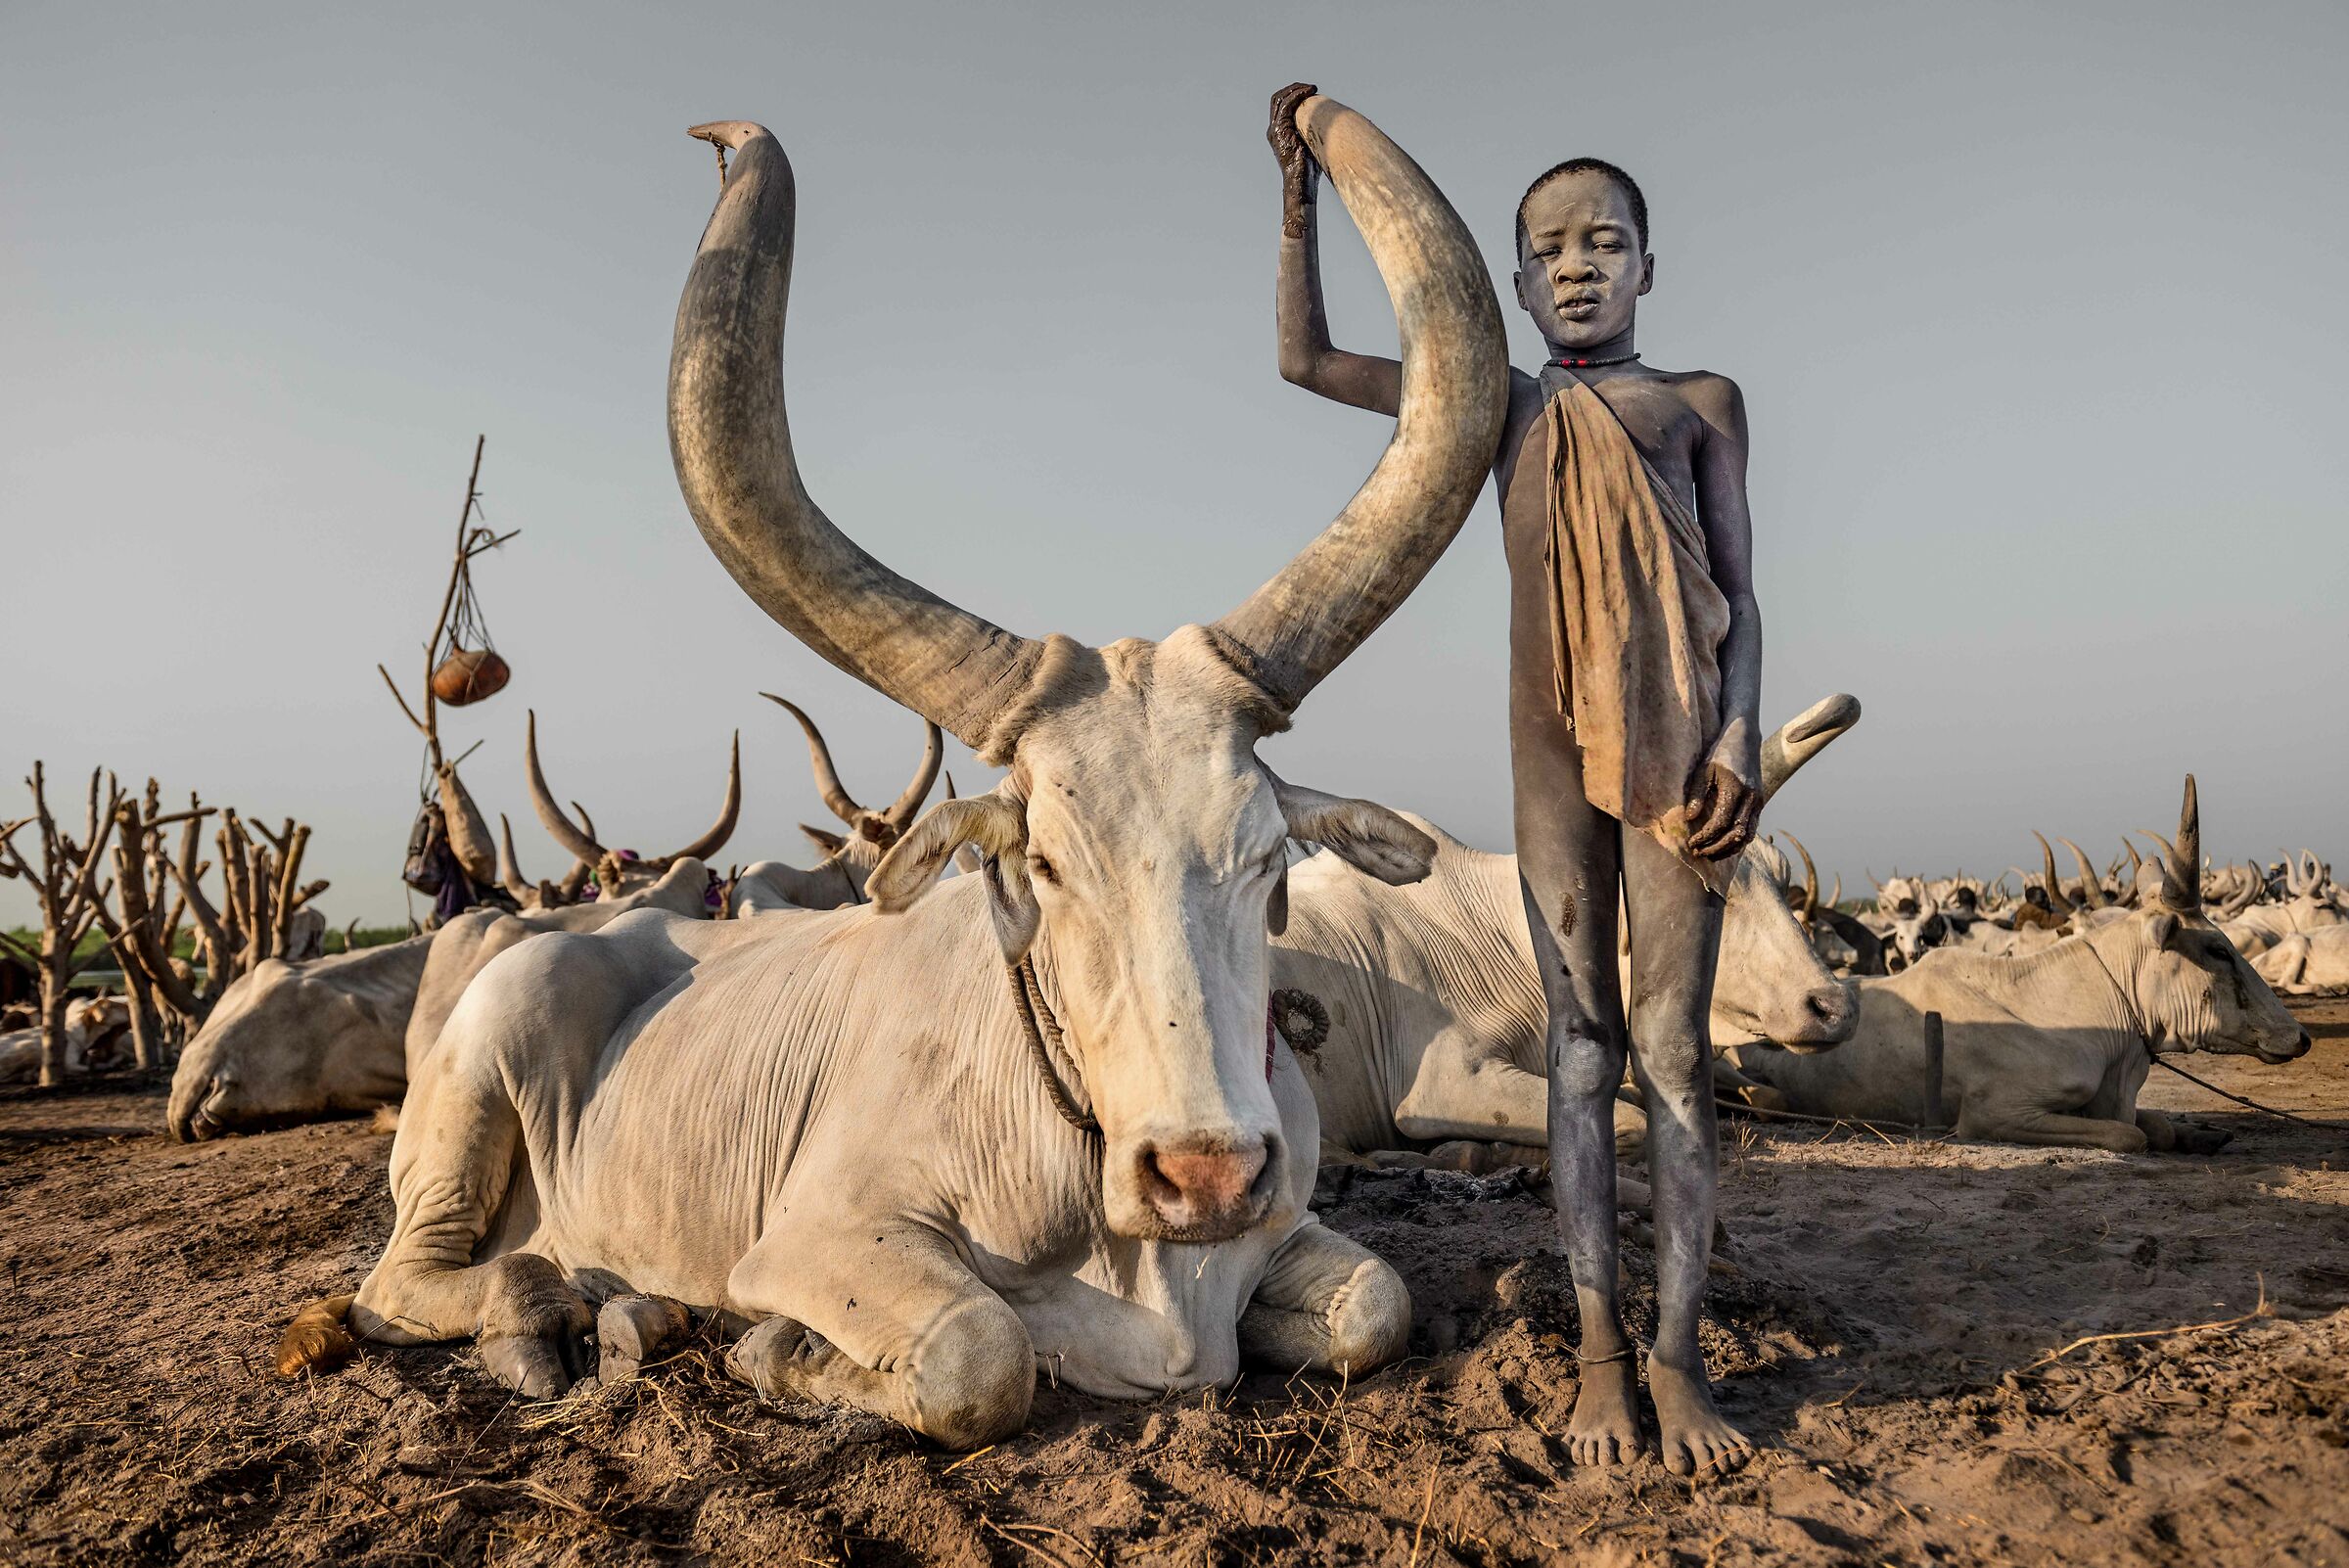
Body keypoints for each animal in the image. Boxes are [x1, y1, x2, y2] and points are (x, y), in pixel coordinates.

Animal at [278, 99, 1506, 1449]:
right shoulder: (822, 1238)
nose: (1204, 1174)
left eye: (1269, 857)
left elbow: (1377, 1305)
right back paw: (549, 1307)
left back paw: (629, 1305)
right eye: (1045, 865)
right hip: (485, 1065)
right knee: (409, 1279)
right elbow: (983, 1354)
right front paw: (777, 1351)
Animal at [1734, 779, 2310, 1153]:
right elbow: (2132, 1135)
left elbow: (2160, 1126)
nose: (2299, 1036)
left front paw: (2202, 1133)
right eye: (2217, 949)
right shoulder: (1995, 1114)